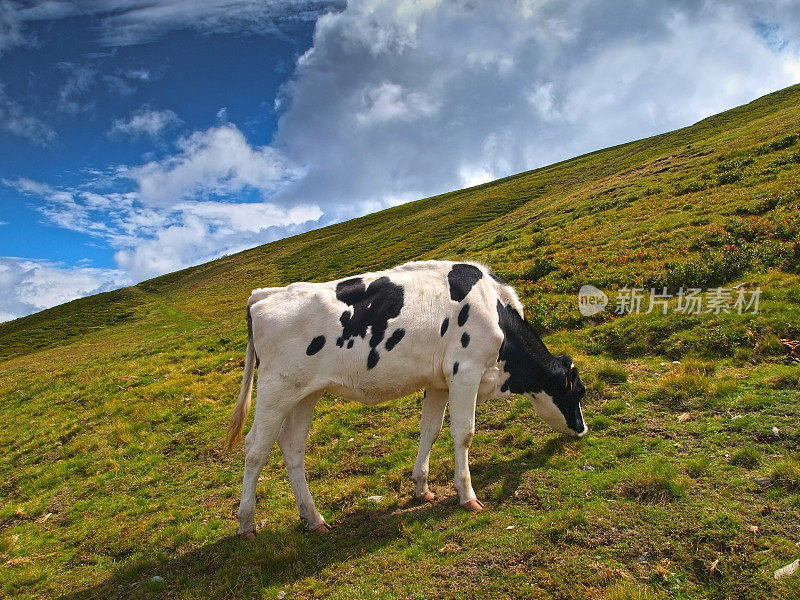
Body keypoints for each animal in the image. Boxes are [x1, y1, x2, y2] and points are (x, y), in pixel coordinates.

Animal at [225, 260, 588, 536]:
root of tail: (263, 296)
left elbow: (430, 430)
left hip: (305, 394)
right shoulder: (465, 372)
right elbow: (464, 434)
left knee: (292, 448)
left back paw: (313, 518)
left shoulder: (439, 382)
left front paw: (420, 487)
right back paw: (246, 523)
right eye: (578, 391)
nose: (583, 430)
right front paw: (467, 495)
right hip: (275, 390)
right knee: (255, 448)